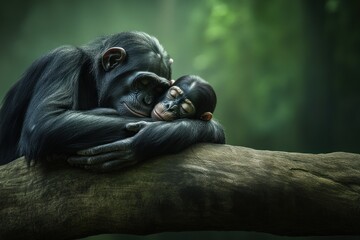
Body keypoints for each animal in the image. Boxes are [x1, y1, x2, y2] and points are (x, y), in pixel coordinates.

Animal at [0, 31, 225, 171]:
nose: (147, 100)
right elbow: (46, 122)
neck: (91, 77)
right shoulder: (63, 60)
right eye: (144, 82)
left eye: (158, 89)